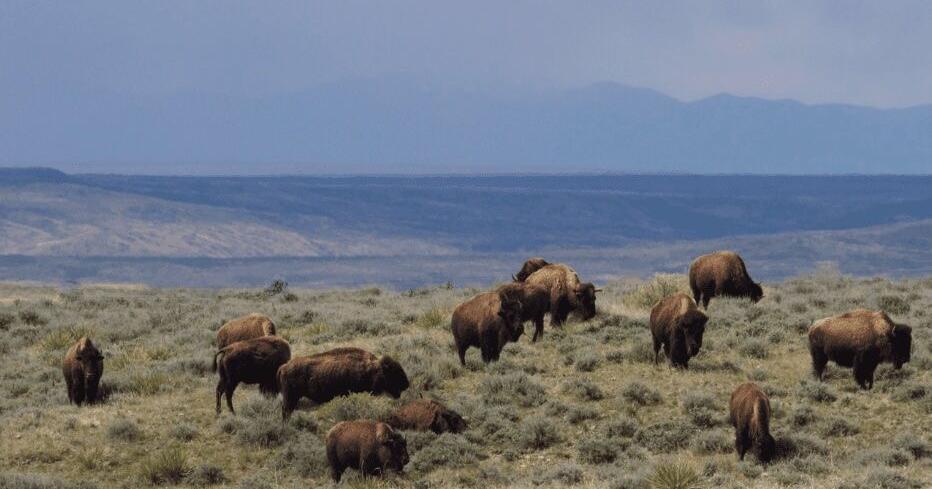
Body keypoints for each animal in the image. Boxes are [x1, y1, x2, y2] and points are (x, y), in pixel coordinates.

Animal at [277, 347, 409, 419]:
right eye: (393, 372)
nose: (406, 384)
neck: (371, 369)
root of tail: (284, 367)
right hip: (290, 399)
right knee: (286, 411)